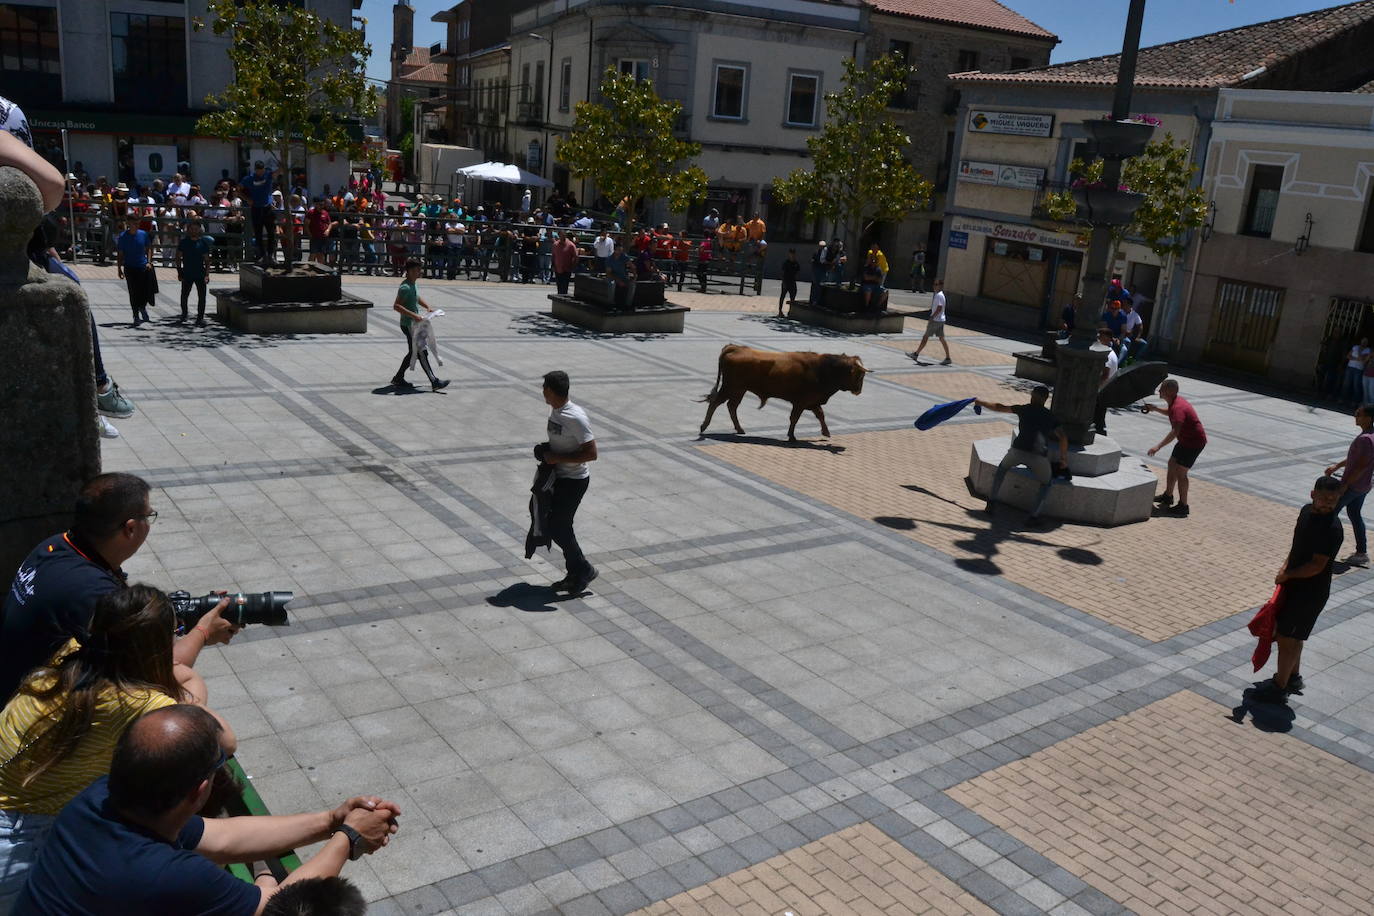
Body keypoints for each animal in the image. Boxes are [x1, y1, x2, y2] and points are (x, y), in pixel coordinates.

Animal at [697, 346, 868, 442]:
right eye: (860, 375)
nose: (859, 391)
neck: (823, 369)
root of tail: (734, 347)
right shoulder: (801, 402)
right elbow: (795, 418)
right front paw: (791, 436)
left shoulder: (812, 401)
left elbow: (820, 415)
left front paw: (826, 432)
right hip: (730, 387)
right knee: (716, 403)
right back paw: (704, 426)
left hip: (739, 390)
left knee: (731, 406)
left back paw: (739, 429)